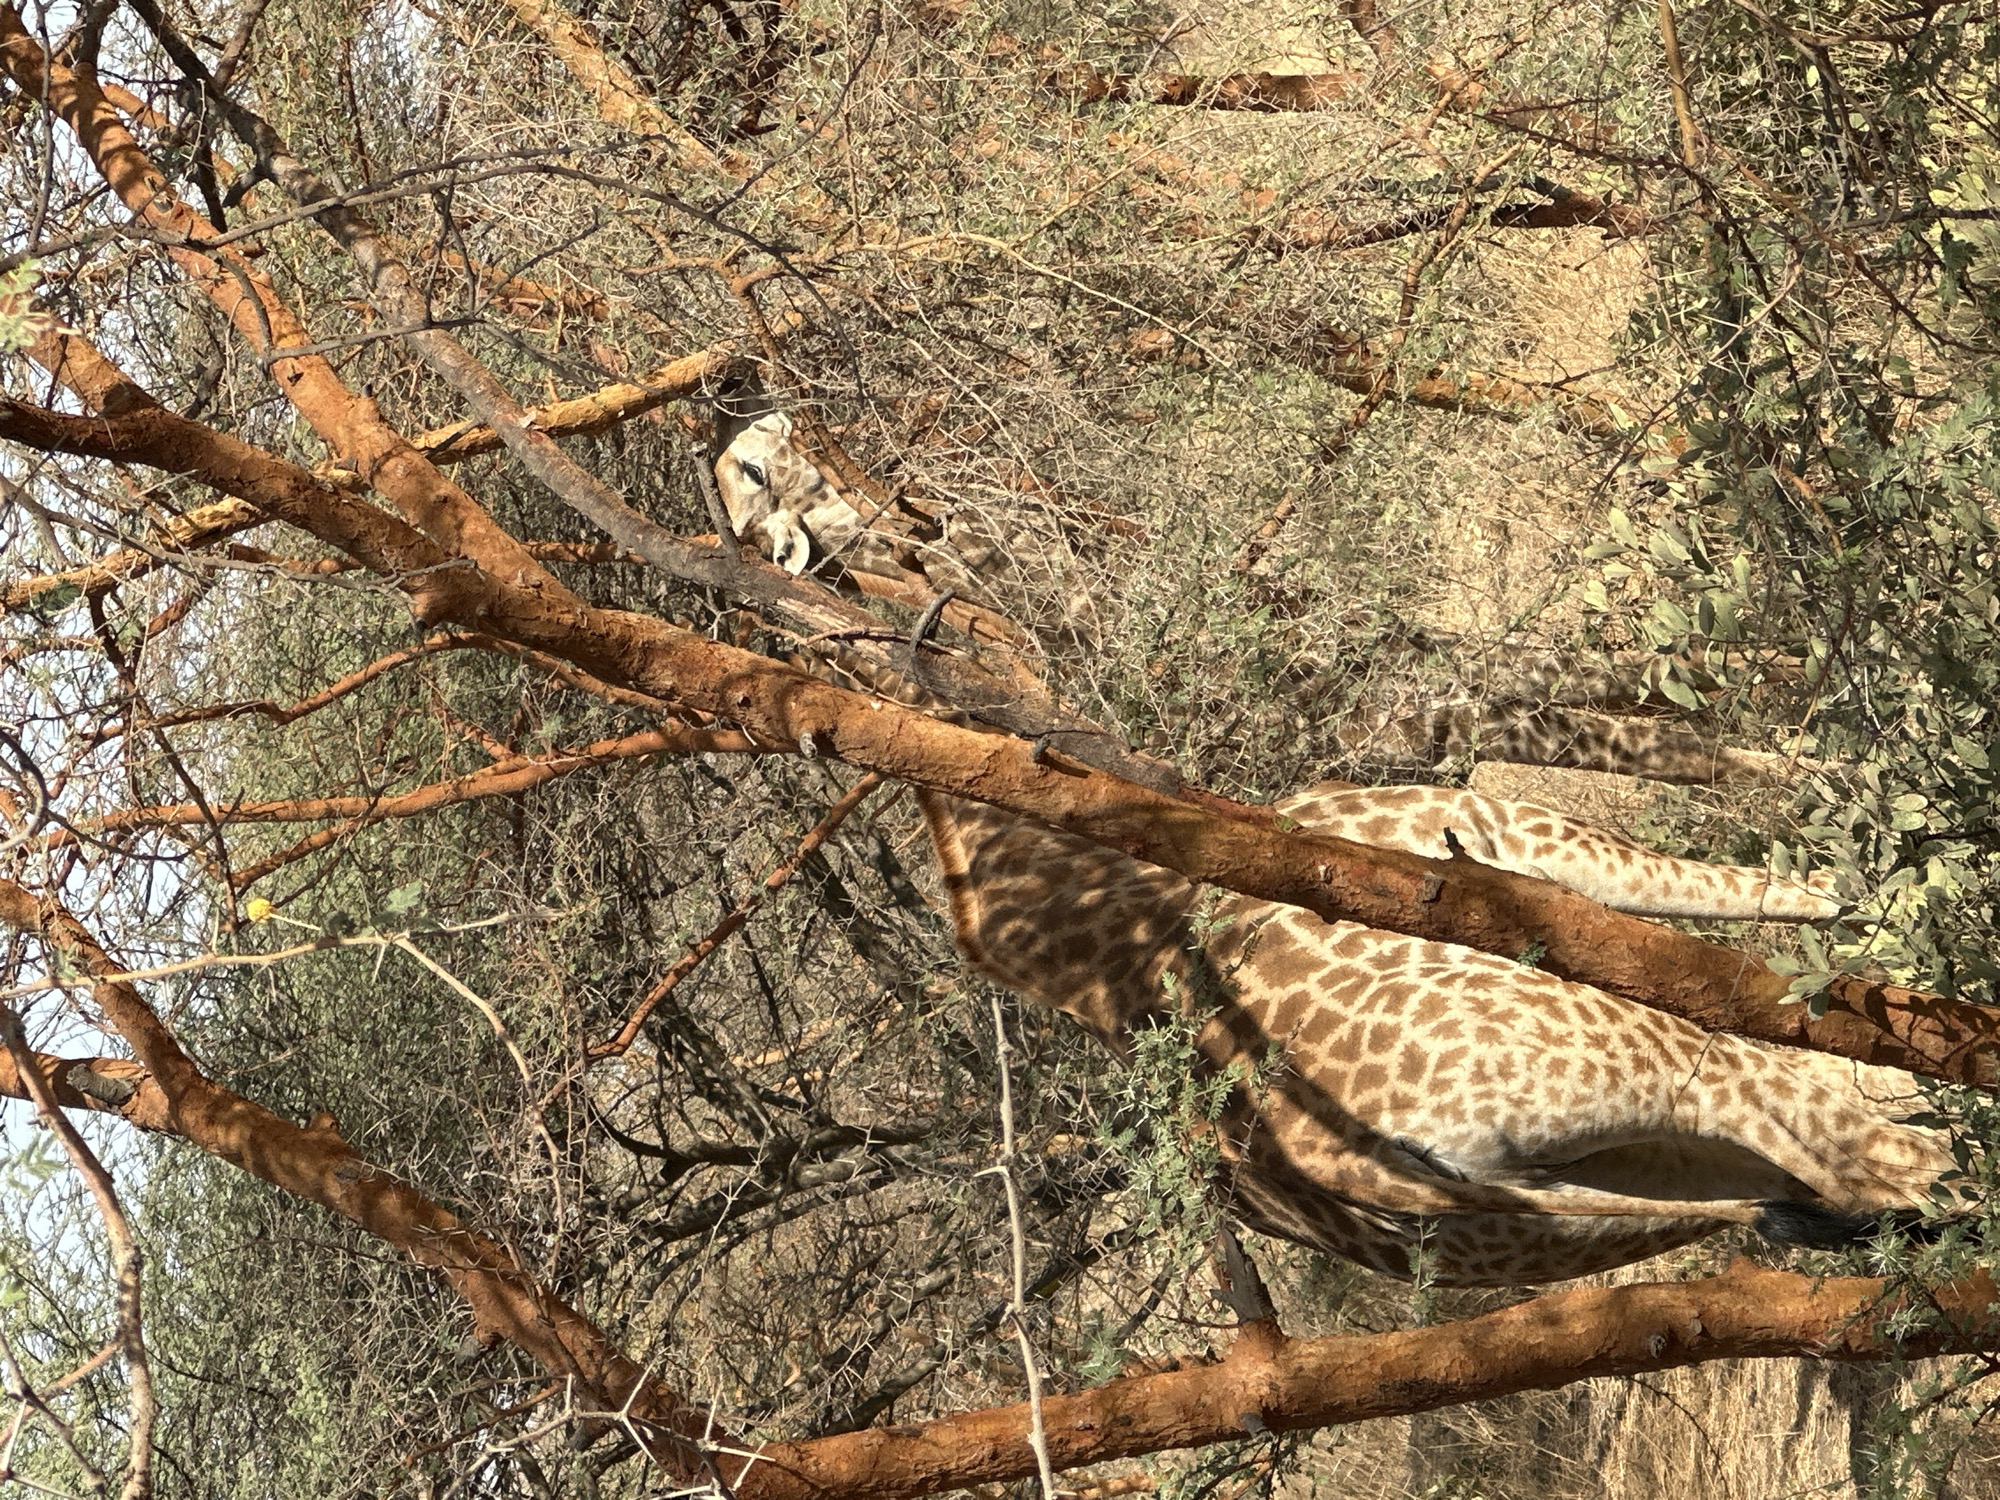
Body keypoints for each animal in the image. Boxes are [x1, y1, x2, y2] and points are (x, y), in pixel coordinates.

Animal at [715, 413, 1948, 1286]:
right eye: (752, 474)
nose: (761, 403)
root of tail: (1346, 1162)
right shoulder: (1490, 823)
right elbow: (1756, 870)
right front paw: (1901, 825)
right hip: (1643, 1084)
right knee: (1880, 1146)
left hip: (1613, 1194)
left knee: (1865, 1184)